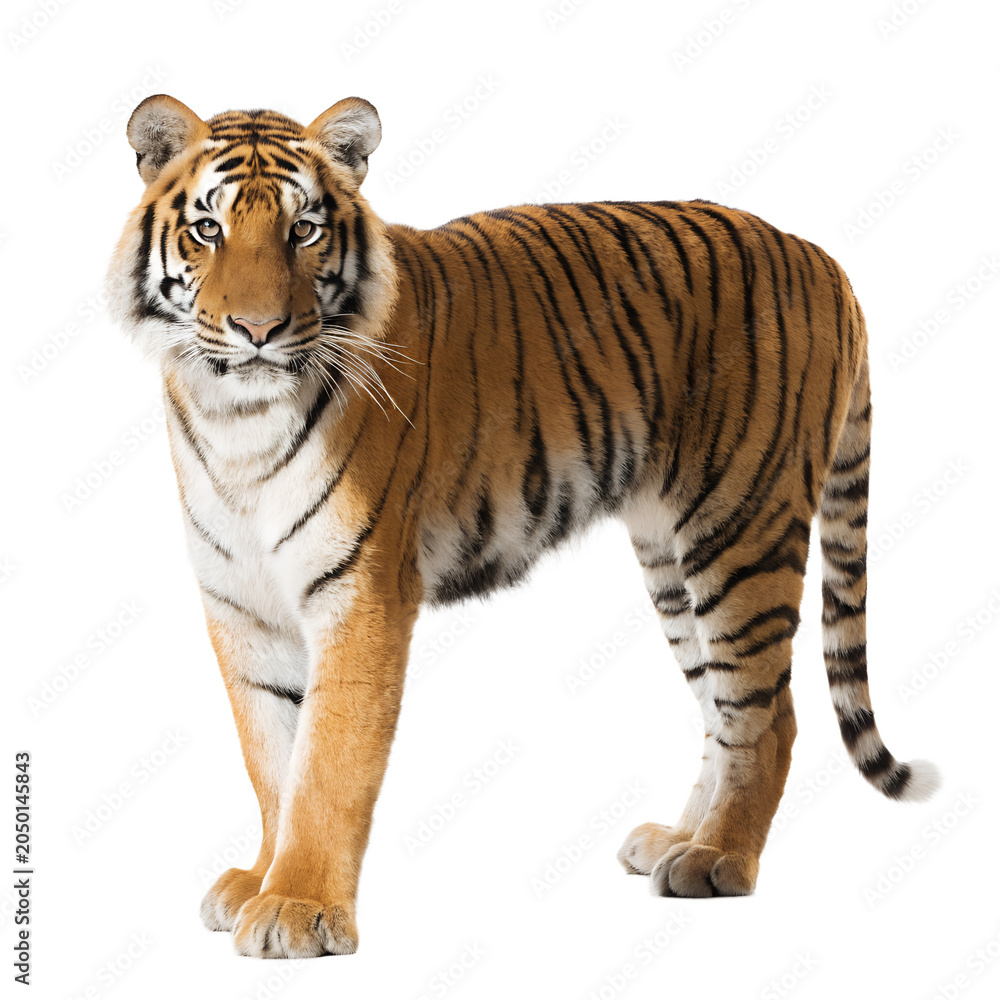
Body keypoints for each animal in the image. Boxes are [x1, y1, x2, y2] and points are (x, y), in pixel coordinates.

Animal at [106, 93, 939, 959]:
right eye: (209, 229)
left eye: (304, 229)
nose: (259, 330)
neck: (237, 422)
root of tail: (822, 258)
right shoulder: (240, 603)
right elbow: (272, 758)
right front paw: (262, 881)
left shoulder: (362, 596)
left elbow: (326, 766)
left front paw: (298, 908)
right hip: (672, 557)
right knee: (721, 708)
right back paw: (678, 839)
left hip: (739, 528)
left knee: (769, 715)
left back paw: (717, 859)